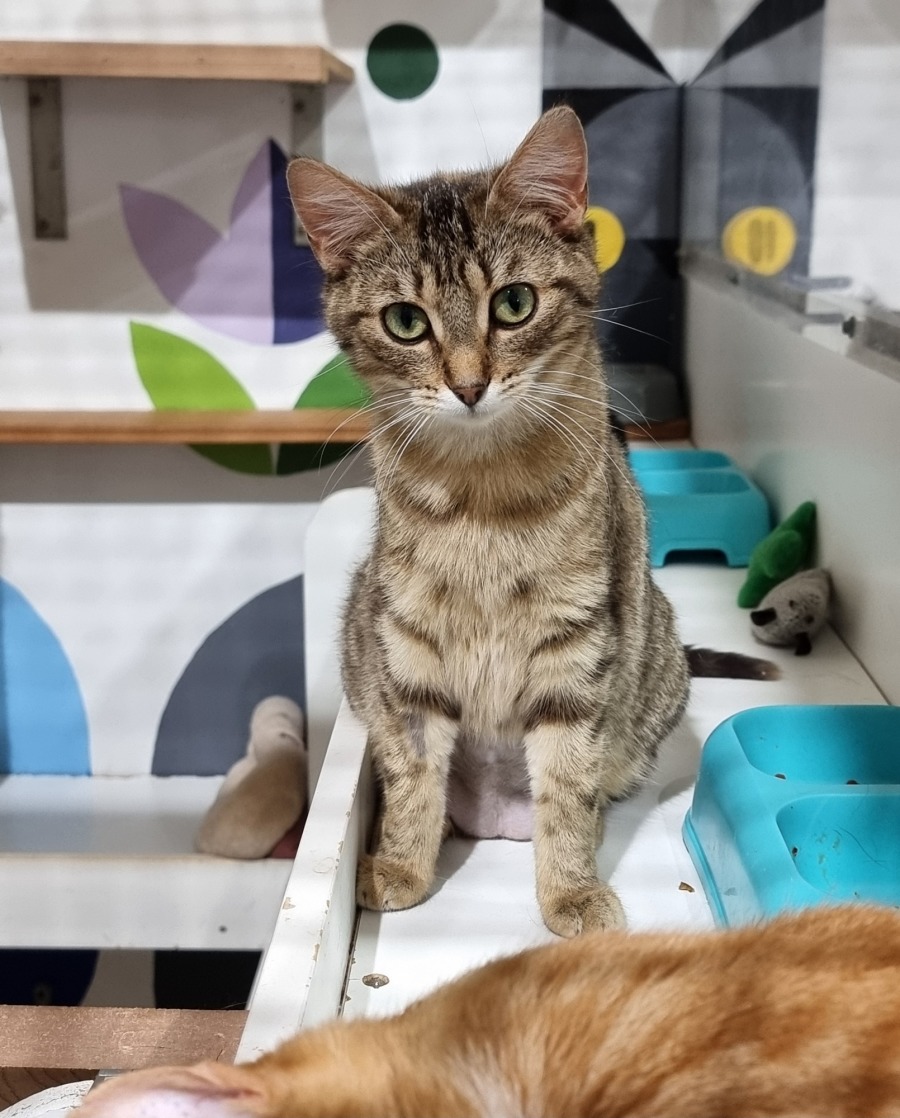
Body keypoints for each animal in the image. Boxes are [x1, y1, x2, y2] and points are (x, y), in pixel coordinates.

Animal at [286, 106, 774, 938]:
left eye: (513, 304)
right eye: (405, 321)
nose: (468, 384)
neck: (481, 498)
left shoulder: (576, 647)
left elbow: (569, 786)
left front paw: (569, 890)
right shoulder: (408, 647)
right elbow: (414, 772)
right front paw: (402, 865)